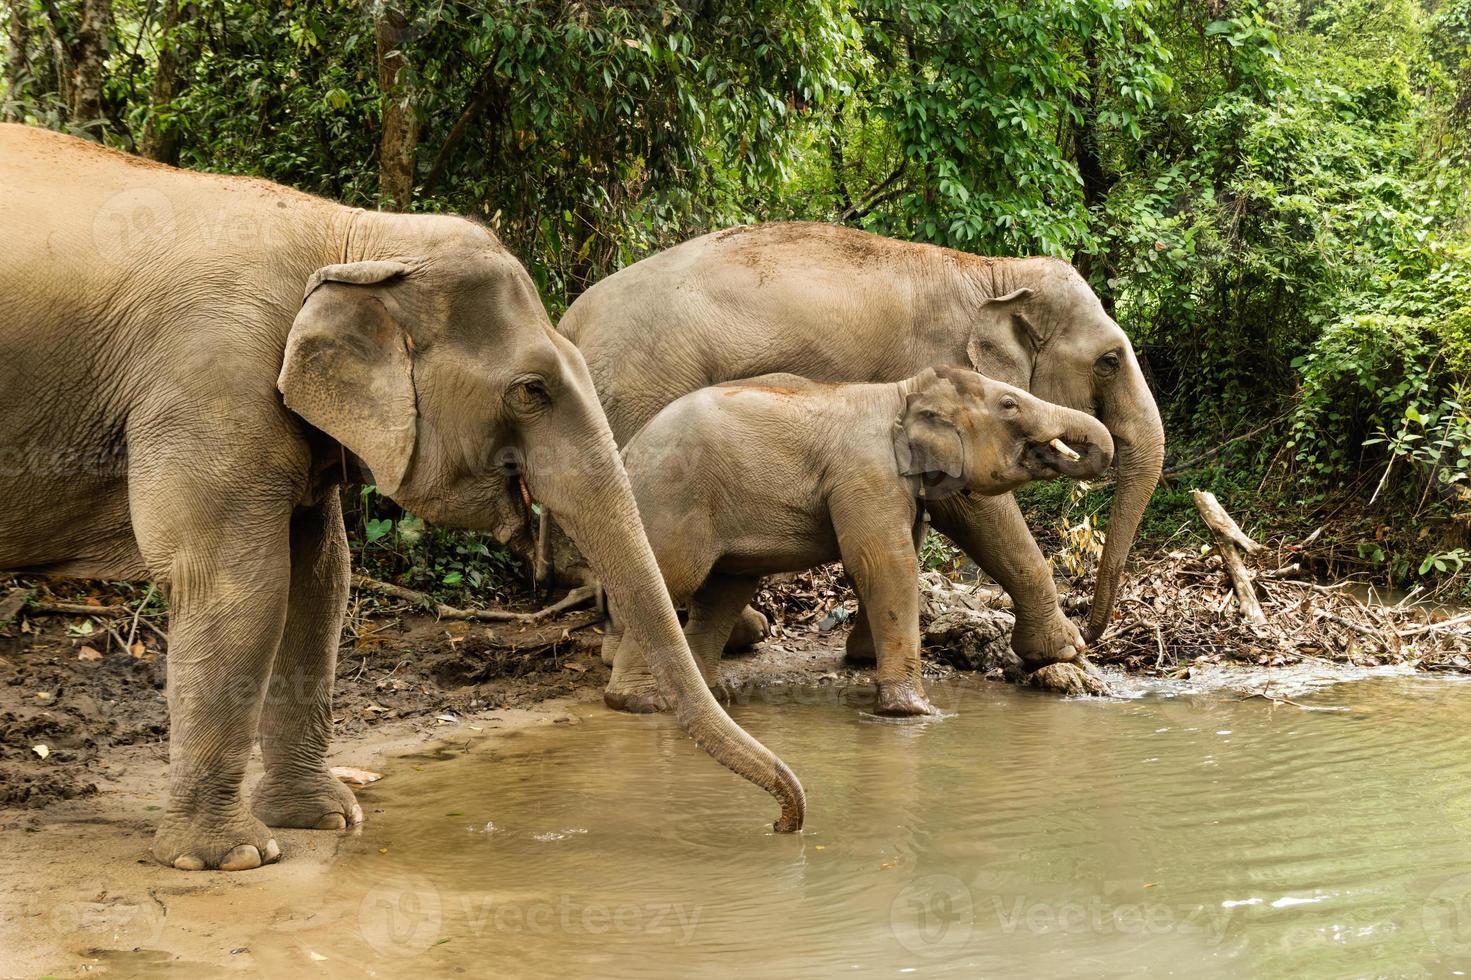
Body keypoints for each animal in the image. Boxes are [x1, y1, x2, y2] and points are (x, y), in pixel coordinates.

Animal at [0, 125, 806, 865]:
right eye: (531, 391)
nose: (785, 822)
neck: (352, 234)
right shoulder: (210, 379)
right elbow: (239, 580)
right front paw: (231, 858)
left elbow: (320, 579)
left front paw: (325, 820)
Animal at [603, 361, 1106, 715]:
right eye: (1009, 404)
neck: (901, 392)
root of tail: (627, 449)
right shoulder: (866, 473)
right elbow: (886, 564)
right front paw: (916, 713)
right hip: (672, 498)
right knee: (671, 582)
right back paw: (641, 703)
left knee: (721, 594)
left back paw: (705, 695)